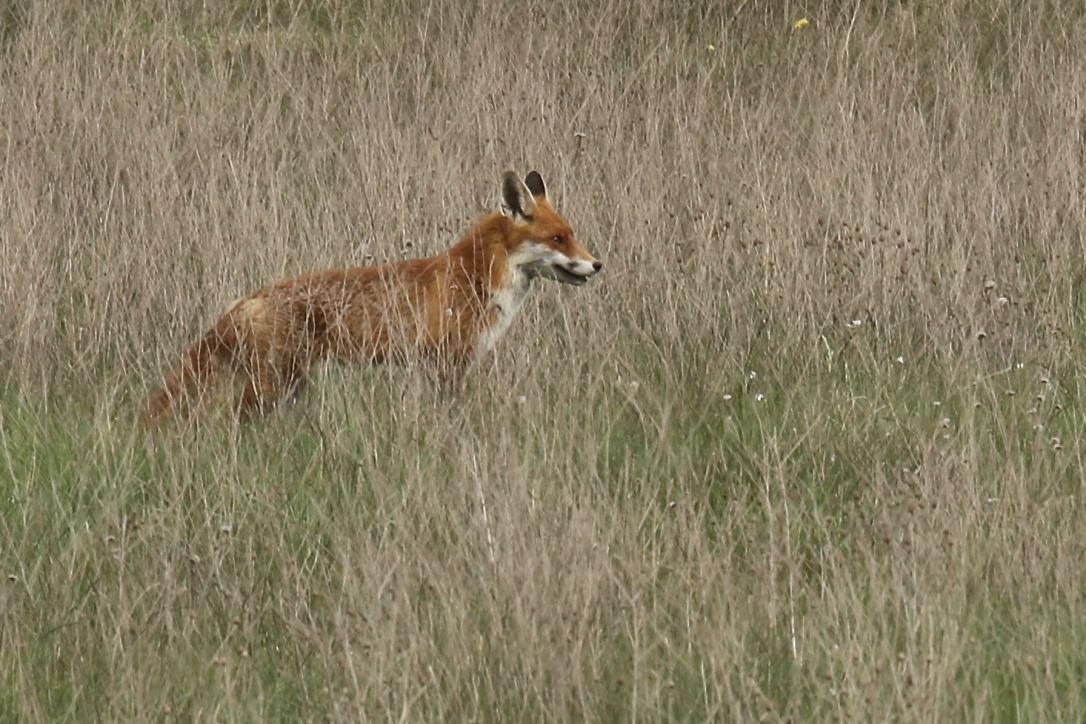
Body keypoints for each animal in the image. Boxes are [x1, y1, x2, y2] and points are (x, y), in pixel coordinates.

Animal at [142, 170, 603, 427]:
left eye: (572, 234)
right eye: (558, 239)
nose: (598, 264)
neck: (476, 276)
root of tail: (248, 299)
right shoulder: (448, 362)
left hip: (289, 385)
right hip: (273, 386)